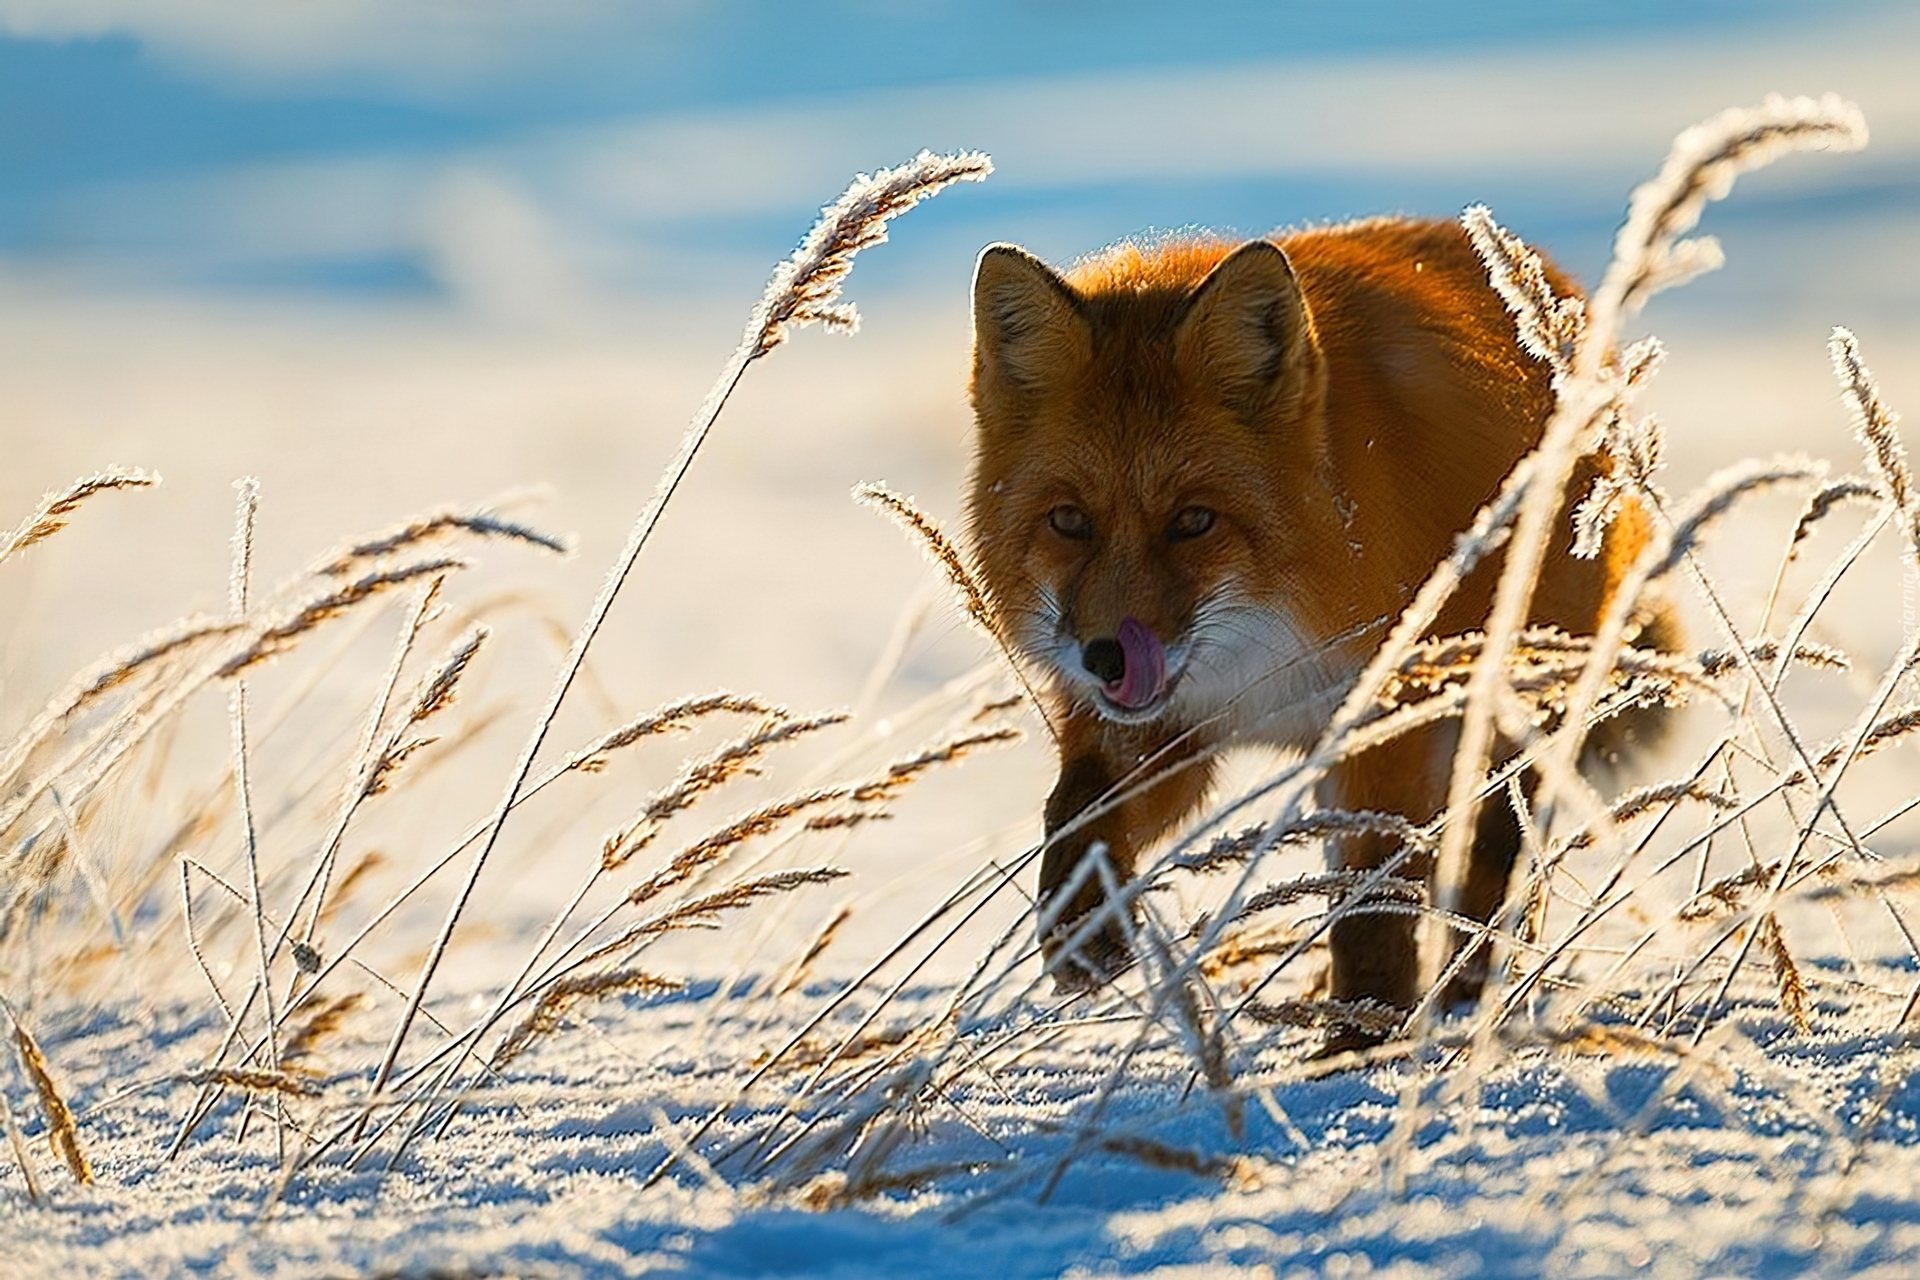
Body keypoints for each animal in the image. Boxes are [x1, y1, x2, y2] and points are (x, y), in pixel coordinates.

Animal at [967, 220, 1658, 1036]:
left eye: (1193, 521)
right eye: (1070, 521)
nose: (1106, 658)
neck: (1263, 657)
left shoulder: (1382, 725)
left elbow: (1370, 911)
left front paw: (1357, 1040)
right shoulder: (1167, 728)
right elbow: (1078, 814)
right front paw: (1082, 924)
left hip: (1513, 712)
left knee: (1492, 867)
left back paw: (1461, 996)